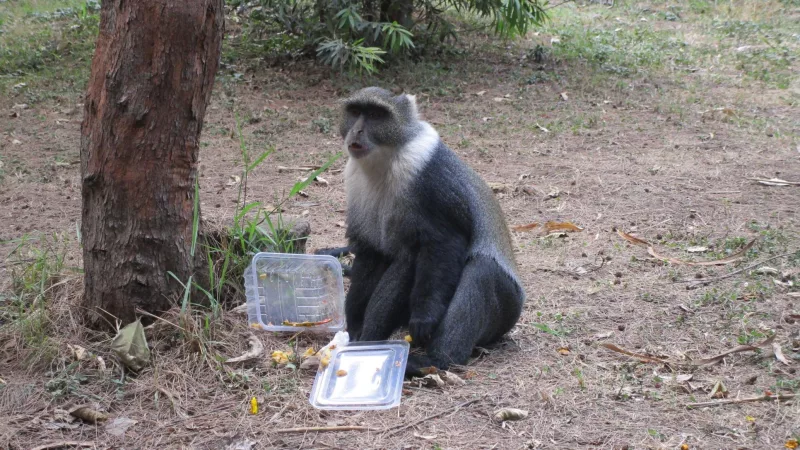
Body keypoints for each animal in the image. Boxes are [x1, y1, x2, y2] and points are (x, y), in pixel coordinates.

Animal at [316, 86, 525, 377]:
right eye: (356, 112)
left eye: (376, 115)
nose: (356, 131)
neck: (386, 158)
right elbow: (372, 252)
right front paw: (356, 326)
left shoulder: (427, 177)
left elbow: (444, 242)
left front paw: (422, 319)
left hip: (505, 309)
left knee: (478, 270)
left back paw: (433, 361)